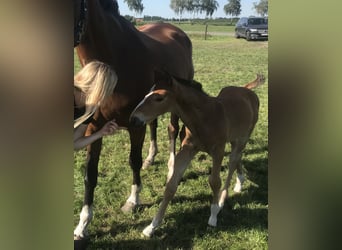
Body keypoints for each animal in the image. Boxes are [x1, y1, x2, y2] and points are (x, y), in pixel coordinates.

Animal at [73, 0, 194, 238]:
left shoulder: (134, 125)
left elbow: (133, 161)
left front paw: (133, 200)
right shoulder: (94, 128)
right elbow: (90, 174)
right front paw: (83, 224)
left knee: (173, 130)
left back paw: (171, 166)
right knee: (155, 125)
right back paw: (151, 158)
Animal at [130, 72, 266, 236]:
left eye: (159, 98)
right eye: (146, 94)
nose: (133, 119)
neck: (204, 118)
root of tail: (246, 90)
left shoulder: (218, 150)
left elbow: (215, 181)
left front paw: (213, 215)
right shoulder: (187, 149)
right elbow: (171, 186)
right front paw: (152, 226)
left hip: (243, 138)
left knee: (233, 161)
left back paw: (222, 200)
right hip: (234, 139)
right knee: (237, 158)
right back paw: (239, 182)